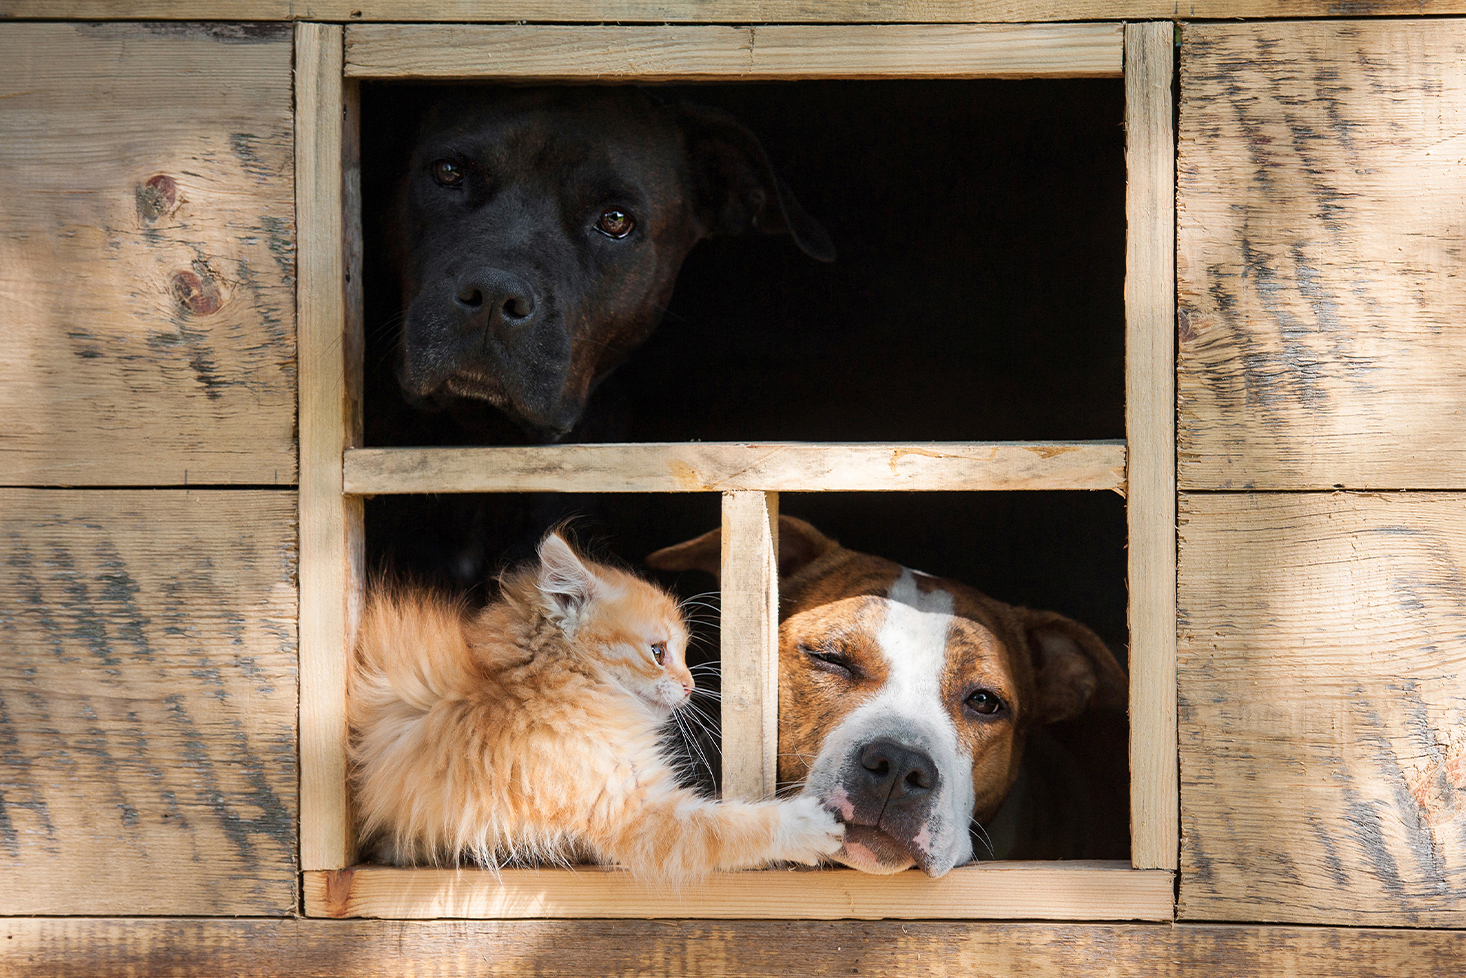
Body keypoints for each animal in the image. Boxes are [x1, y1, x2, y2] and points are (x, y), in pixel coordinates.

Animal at [345, 530, 850, 885]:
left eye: (684, 653)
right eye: (659, 652)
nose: (690, 687)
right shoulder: (633, 814)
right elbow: (729, 827)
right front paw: (807, 825)